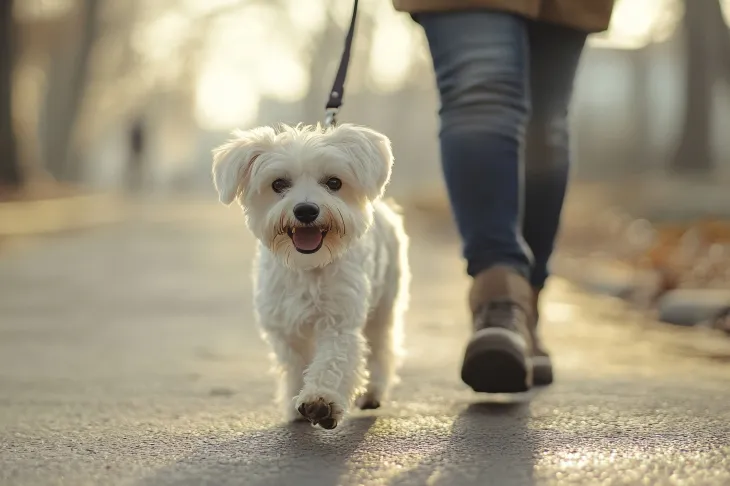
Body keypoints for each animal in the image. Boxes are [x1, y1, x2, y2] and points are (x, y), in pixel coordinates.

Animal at [210, 122, 410, 430]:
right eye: (278, 184)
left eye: (334, 183)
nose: (306, 210)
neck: (308, 266)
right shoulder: (284, 325)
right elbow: (295, 363)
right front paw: (297, 402)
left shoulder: (340, 320)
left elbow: (333, 361)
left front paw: (321, 400)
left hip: (385, 305)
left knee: (382, 347)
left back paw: (373, 392)